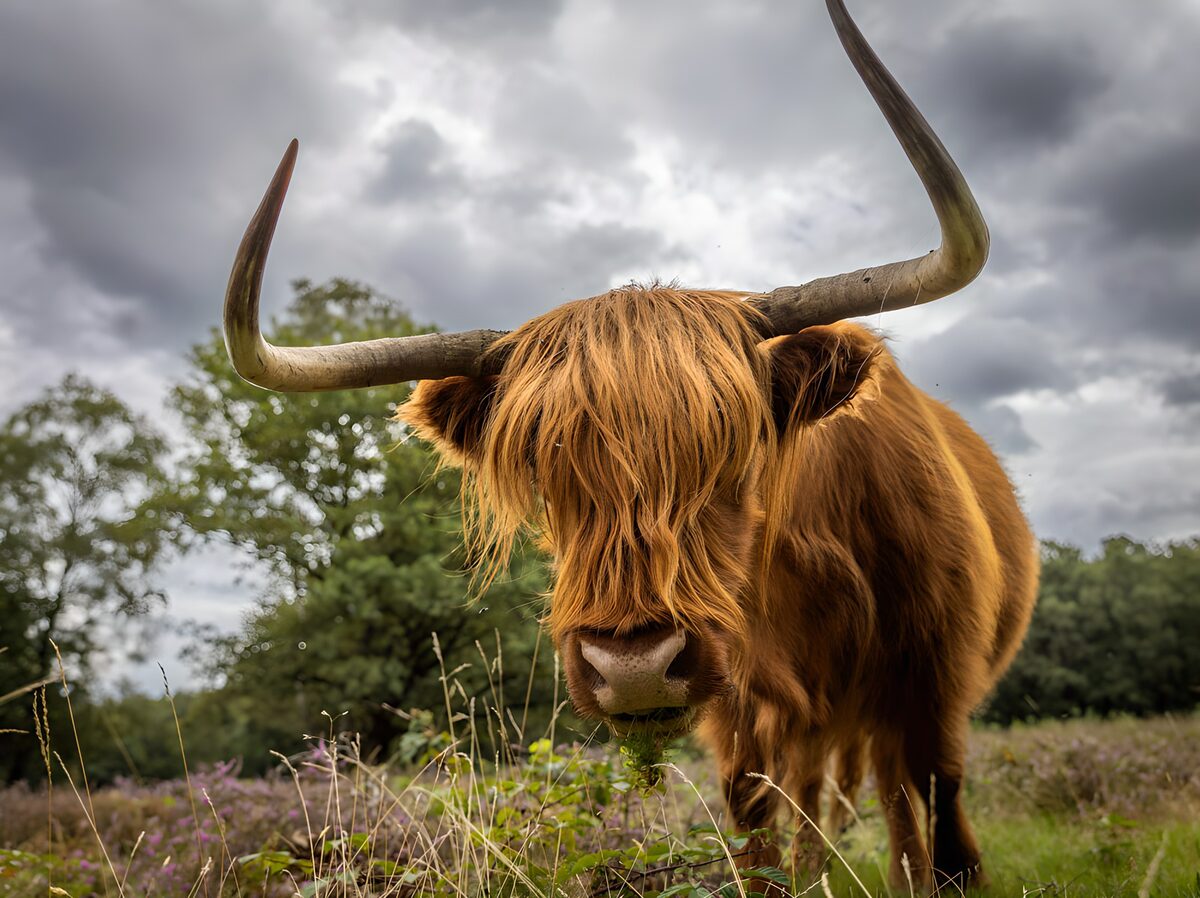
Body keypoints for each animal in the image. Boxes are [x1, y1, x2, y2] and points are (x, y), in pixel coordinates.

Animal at [219, 0, 1038, 890]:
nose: (635, 667)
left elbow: (944, 811)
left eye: (736, 456)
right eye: (543, 475)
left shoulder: (934, 676)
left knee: (896, 796)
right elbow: (757, 825)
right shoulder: (745, 714)